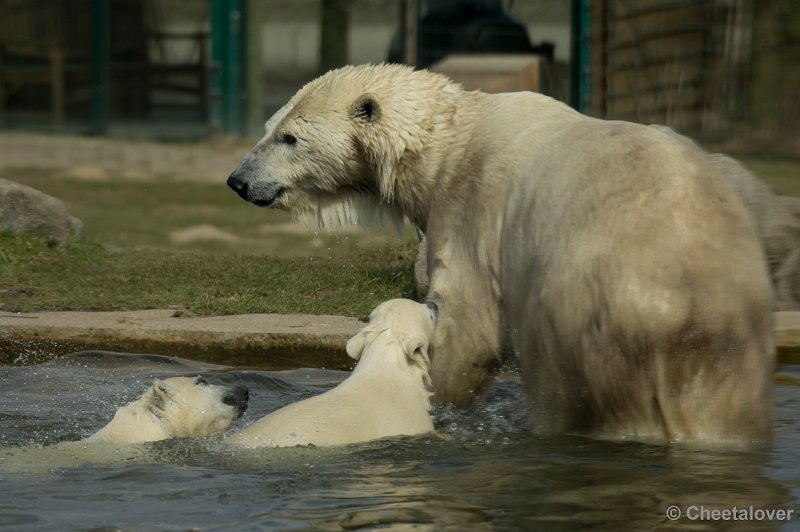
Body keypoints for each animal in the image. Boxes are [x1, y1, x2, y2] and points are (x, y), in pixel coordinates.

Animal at [227, 62, 776, 446]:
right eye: (271, 126)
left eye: (290, 137)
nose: (238, 180)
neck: (448, 142)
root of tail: (680, 308)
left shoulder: (473, 207)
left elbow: (469, 324)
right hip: (735, 333)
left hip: (579, 314)